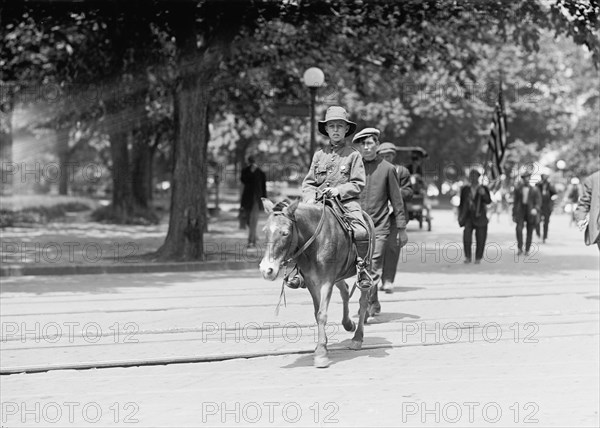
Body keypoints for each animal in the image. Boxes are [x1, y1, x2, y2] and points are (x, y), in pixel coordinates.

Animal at [260, 197, 372, 368]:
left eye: (285, 233)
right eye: (265, 231)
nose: (267, 270)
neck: (316, 242)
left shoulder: (326, 281)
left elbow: (321, 314)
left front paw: (321, 353)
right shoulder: (312, 282)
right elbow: (316, 312)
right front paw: (322, 344)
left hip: (367, 268)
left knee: (363, 301)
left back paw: (357, 338)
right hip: (339, 276)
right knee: (345, 291)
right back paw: (348, 324)